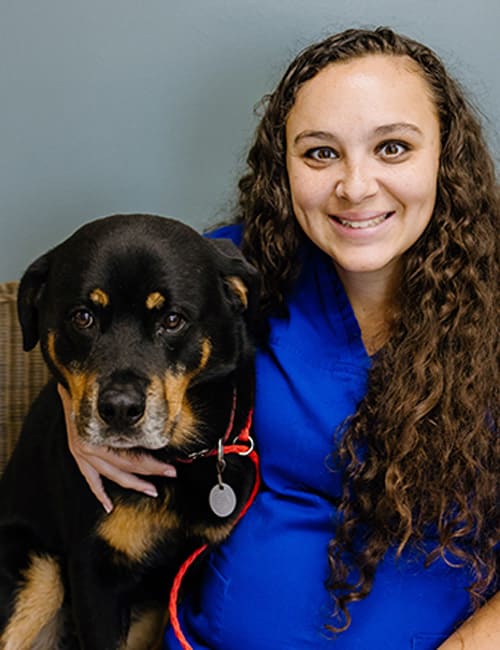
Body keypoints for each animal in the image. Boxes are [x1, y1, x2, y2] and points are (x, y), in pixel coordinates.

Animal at [0, 214, 258, 648]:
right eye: (82, 317)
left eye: (172, 320)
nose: (120, 409)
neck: (177, 460)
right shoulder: (93, 572)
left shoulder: (185, 574)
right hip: (39, 571)